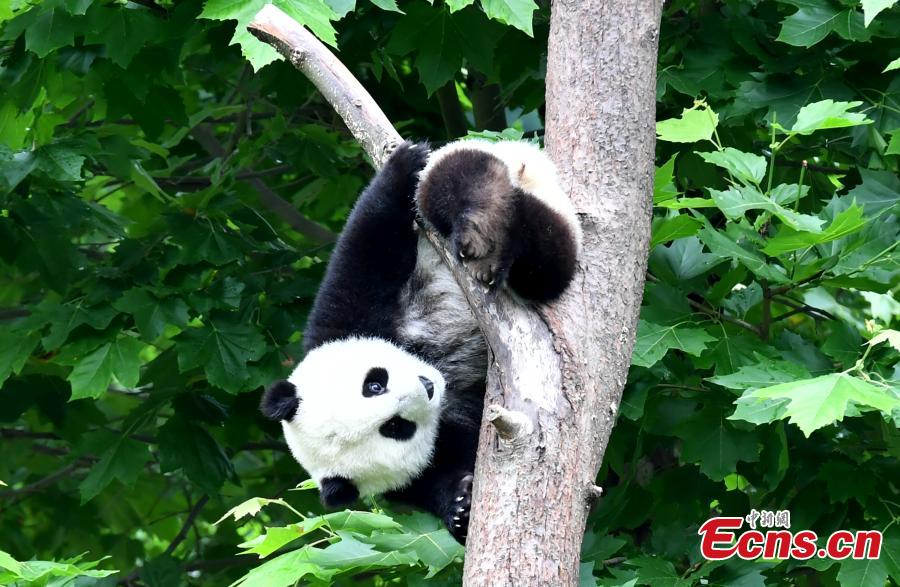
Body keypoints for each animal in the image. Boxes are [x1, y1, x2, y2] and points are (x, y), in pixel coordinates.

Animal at [260, 139, 581, 543]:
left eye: (374, 383)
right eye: (395, 427)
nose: (426, 388)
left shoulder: (338, 322)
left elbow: (366, 249)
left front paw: (399, 169)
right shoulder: (421, 463)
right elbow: (433, 478)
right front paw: (460, 507)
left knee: (455, 180)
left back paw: (482, 221)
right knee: (546, 264)